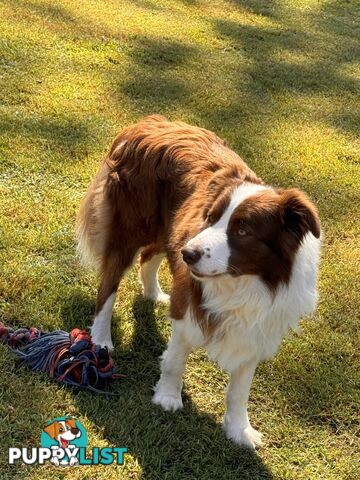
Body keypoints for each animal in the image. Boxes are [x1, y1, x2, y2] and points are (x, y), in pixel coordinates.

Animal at [76, 114, 320, 448]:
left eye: (242, 230)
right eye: (211, 218)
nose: (188, 254)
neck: (246, 282)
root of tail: (148, 122)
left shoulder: (259, 325)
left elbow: (240, 388)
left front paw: (239, 429)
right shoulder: (189, 300)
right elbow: (177, 358)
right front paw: (168, 397)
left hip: (165, 229)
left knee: (149, 256)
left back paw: (154, 294)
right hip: (130, 227)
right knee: (108, 286)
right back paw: (101, 339)